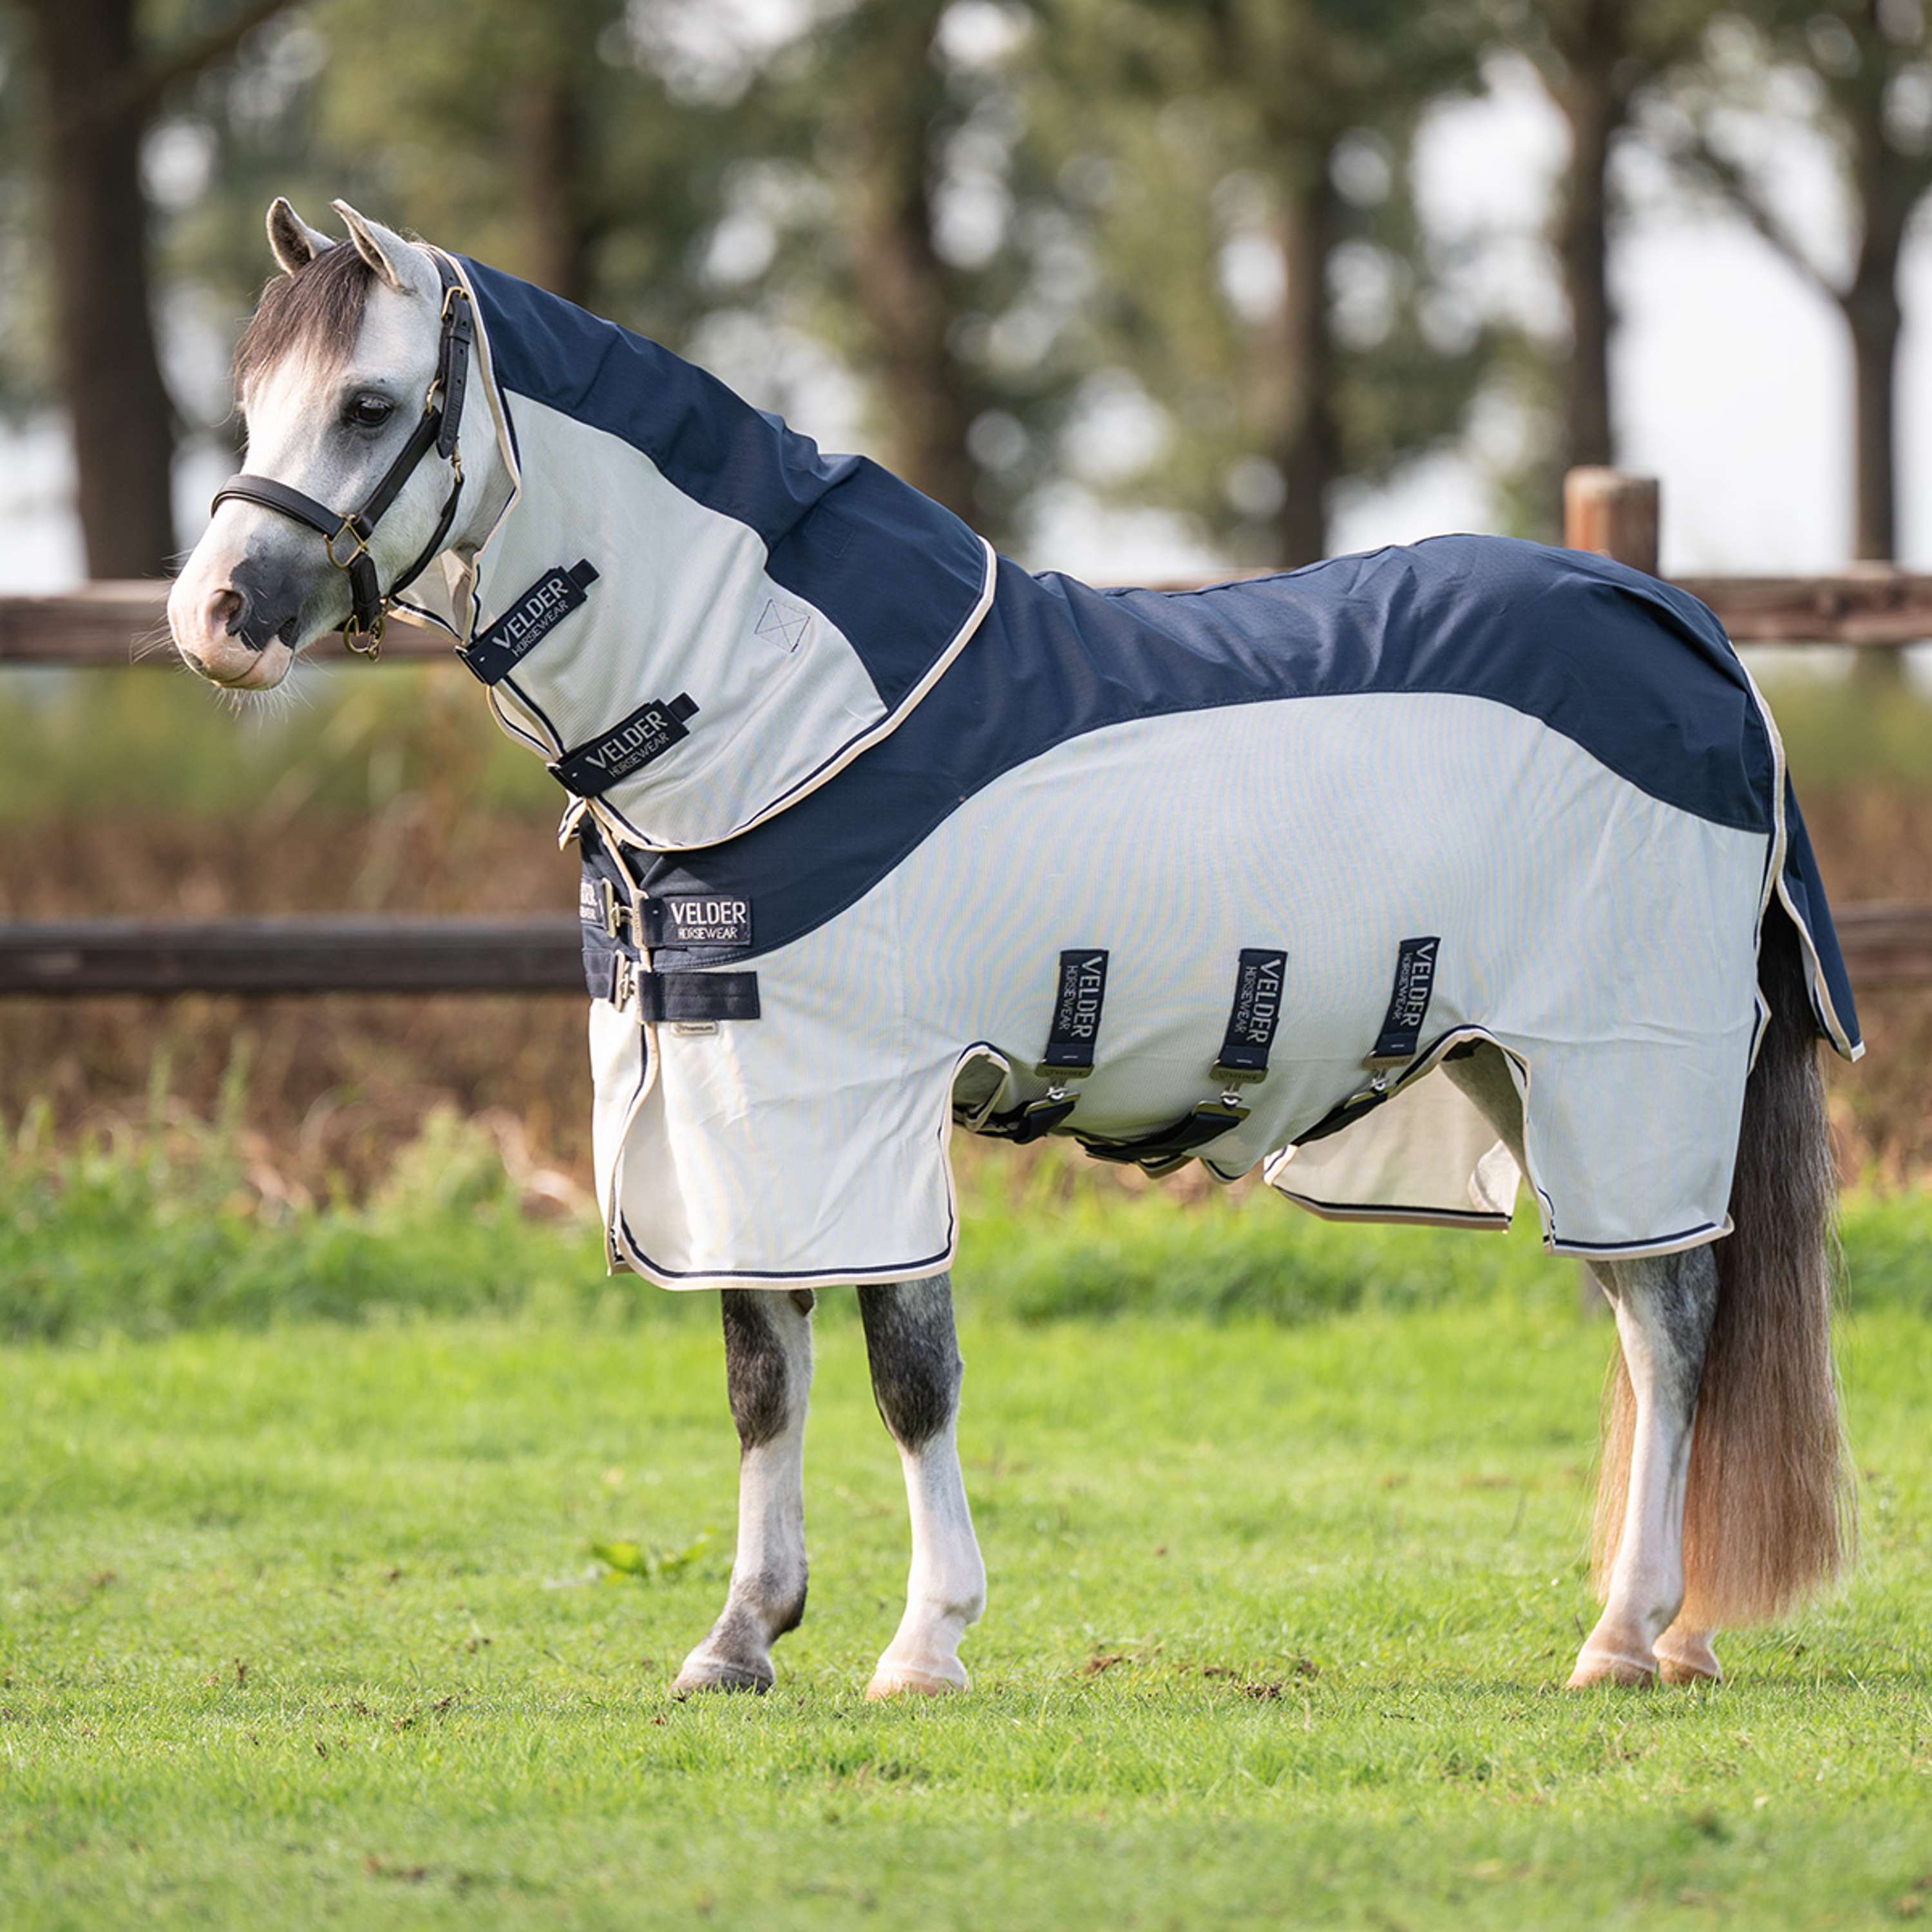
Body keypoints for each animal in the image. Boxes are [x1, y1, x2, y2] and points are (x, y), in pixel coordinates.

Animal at [168, 197, 1858, 1698]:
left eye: (370, 401)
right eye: (251, 402)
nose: (213, 622)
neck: (785, 709)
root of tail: (1680, 630)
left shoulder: (870, 1098)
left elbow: (908, 1374)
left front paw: (922, 1646)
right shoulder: (741, 1105)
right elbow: (759, 1376)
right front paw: (738, 1640)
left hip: (1622, 1068)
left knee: (1674, 1325)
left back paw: (1623, 1638)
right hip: (1521, 1067)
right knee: (1649, 1326)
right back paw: (1675, 1633)